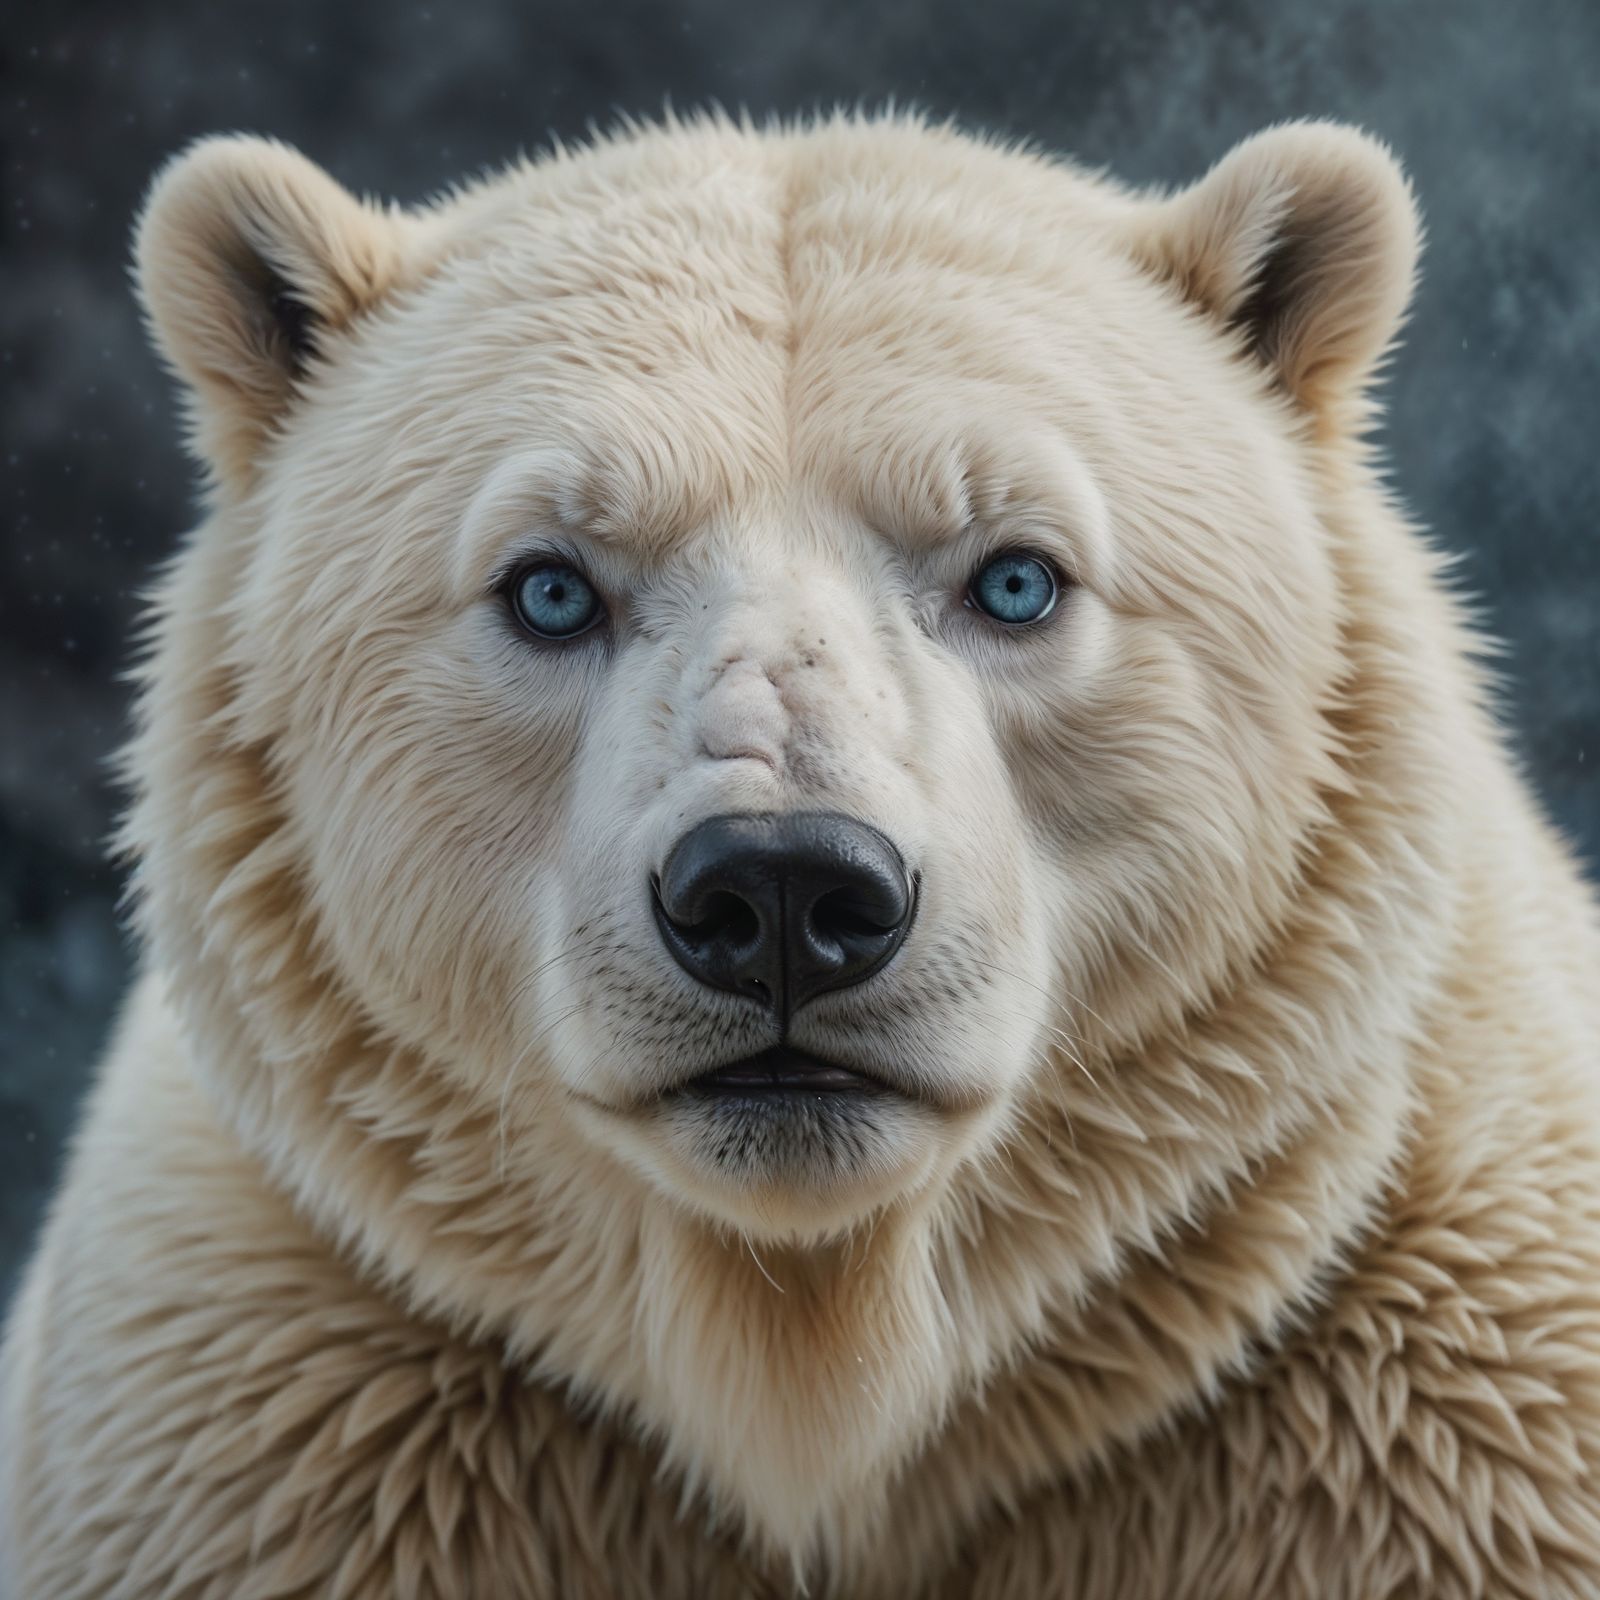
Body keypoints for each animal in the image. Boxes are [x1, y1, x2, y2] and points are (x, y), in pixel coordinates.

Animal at [3, 108, 1600, 1599]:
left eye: (1016, 577)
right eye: (549, 586)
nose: (781, 893)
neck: (809, 1357)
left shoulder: (1405, 1395)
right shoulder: (304, 1402)